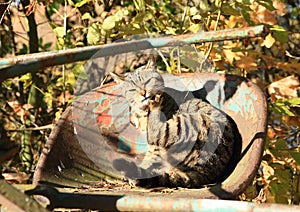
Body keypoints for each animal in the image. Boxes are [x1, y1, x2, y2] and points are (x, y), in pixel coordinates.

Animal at [109, 61, 240, 187]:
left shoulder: (156, 145)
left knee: (158, 131)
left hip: (187, 124)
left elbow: (151, 156)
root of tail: (204, 174)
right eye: (132, 90)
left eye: (147, 81)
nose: (143, 93)